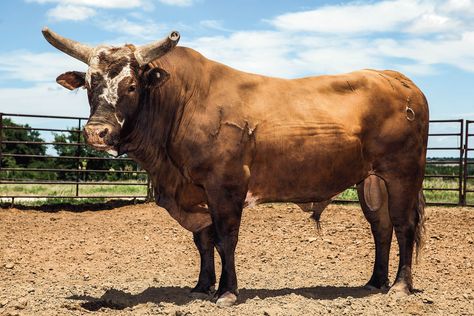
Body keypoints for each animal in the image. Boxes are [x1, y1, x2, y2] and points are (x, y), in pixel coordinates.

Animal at [42, 26, 430, 306]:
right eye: (89, 84)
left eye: (133, 85)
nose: (97, 132)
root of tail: (397, 78)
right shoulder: (195, 190)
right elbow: (203, 239)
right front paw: (201, 286)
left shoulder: (225, 185)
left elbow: (226, 238)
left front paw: (227, 292)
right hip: (371, 181)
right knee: (380, 227)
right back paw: (374, 282)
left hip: (402, 174)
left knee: (403, 226)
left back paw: (400, 287)